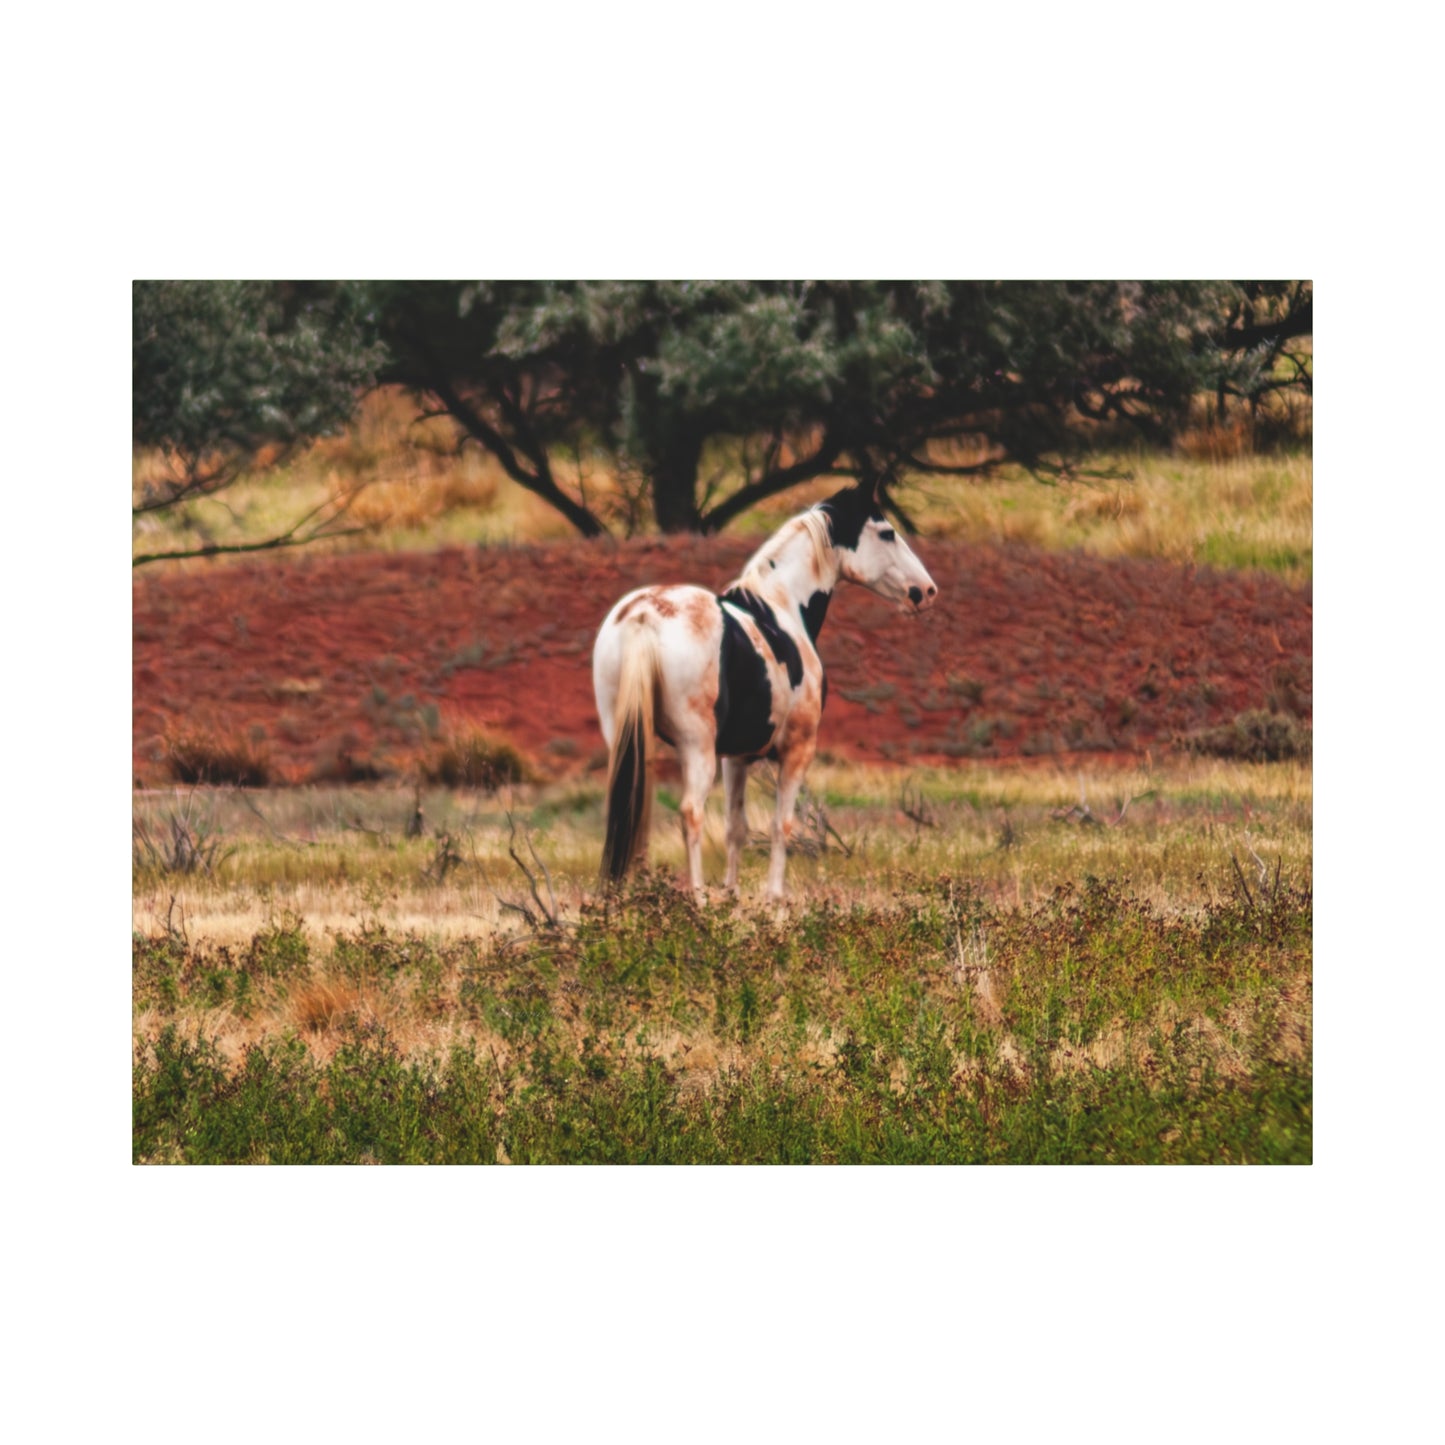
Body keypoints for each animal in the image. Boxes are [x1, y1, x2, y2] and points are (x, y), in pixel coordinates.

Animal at [592, 482, 938, 900]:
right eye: (886, 533)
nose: (926, 591)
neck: (780, 608)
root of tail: (644, 615)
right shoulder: (797, 751)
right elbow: (781, 825)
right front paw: (774, 898)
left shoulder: (735, 757)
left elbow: (735, 828)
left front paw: (732, 895)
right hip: (695, 746)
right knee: (691, 812)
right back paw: (698, 898)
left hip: (628, 737)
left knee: (631, 807)